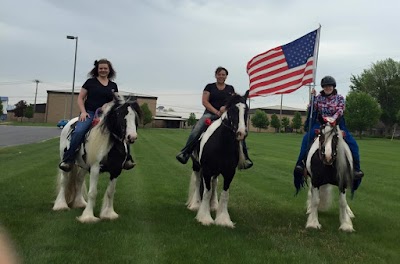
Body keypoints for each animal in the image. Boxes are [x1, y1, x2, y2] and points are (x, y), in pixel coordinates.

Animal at [52, 95, 141, 223]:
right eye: (119, 114)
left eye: (135, 116)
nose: (132, 137)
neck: (110, 144)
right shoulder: (95, 168)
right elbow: (92, 192)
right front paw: (88, 217)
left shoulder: (116, 170)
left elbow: (110, 192)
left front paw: (109, 214)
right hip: (65, 163)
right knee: (64, 181)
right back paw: (61, 205)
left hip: (84, 166)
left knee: (79, 180)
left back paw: (79, 203)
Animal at [186, 90, 248, 227]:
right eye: (232, 110)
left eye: (246, 110)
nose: (241, 133)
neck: (222, 144)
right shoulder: (207, 170)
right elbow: (206, 192)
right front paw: (204, 217)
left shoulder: (229, 172)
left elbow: (225, 194)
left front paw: (223, 219)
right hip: (197, 166)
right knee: (198, 182)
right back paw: (195, 205)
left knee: (214, 184)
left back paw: (214, 205)